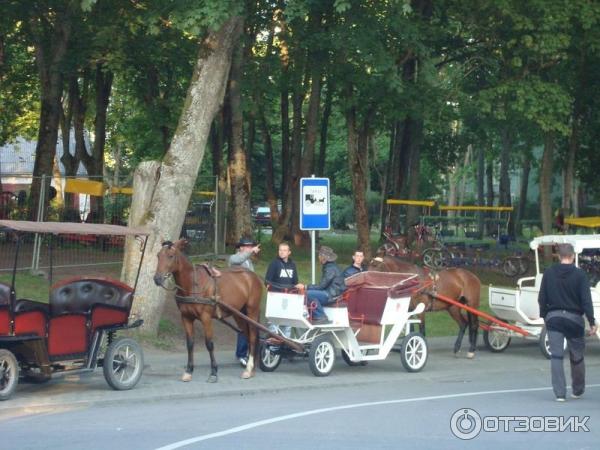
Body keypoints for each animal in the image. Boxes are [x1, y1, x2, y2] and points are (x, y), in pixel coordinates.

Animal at [154, 241, 262, 382]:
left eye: (171, 256)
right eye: (158, 255)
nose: (157, 279)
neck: (192, 284)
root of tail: (253, 276)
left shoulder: (206, 318)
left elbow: (209, 344)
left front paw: (214, 372)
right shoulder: (186, 317)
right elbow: (190, 344)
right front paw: (189, 371)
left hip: (252, 311)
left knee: (253, 336)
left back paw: (249, 368)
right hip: (239, 314)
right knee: (247, 335)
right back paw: (251, 368)